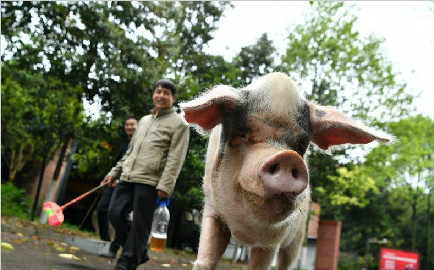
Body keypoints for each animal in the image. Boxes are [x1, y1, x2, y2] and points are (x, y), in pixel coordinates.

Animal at [180, 72, 390, 270]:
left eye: (300, 145)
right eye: (241, 134)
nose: (288, 157)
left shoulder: (275, 239)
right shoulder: (212, 209)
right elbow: (205, 259)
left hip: (298, 236)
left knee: (286, 262)